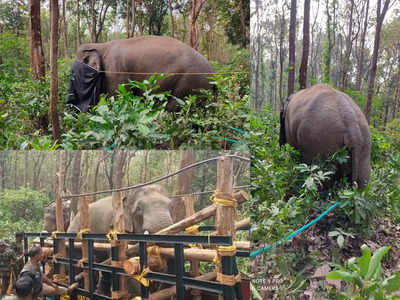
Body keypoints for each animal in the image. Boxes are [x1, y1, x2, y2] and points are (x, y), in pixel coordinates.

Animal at [67, 35, 214, 112]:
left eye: (72, 76)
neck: (101, 45)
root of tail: (214, 74)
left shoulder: (114, 70)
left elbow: (118, 98)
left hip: (190, 84)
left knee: (173, 108)